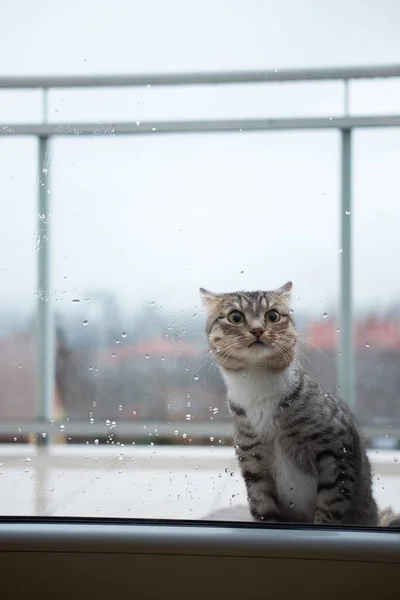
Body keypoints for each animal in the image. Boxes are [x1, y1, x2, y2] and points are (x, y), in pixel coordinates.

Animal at [200, 282, 384, 524]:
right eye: (236, 317)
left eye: (273, 315)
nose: (257, 330)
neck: (258, 383)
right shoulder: (253, 463)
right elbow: (263, 508)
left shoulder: (336, 451)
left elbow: (330, 507)